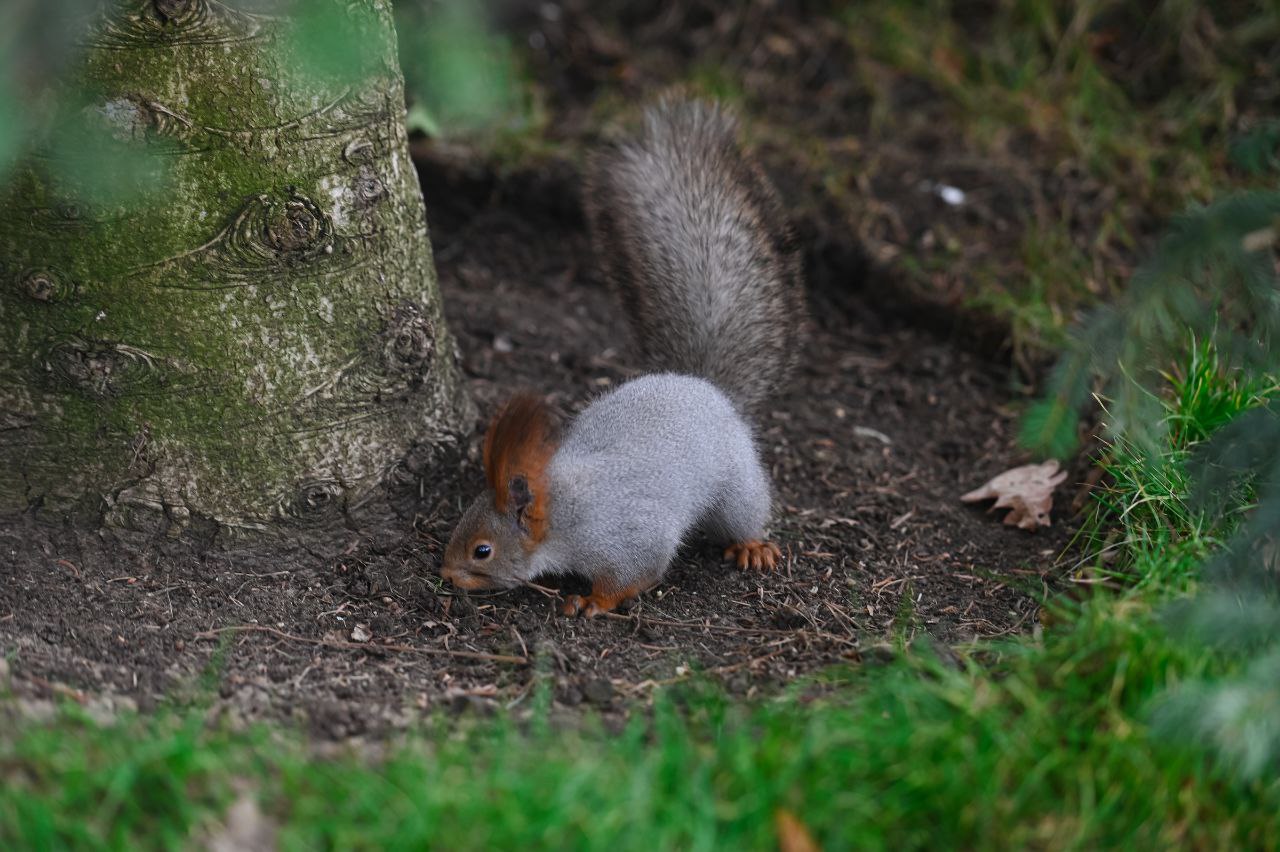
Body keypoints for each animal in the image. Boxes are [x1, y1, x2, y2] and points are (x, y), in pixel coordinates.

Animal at [440, 95, 798, 614]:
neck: (563, 512)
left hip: (736, 483)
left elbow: (638, 573)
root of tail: (703, 386)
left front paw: (593, 601)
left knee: (746, 512)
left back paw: (751, 544)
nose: (445, 574)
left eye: (482, 550)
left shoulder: (626, 537)